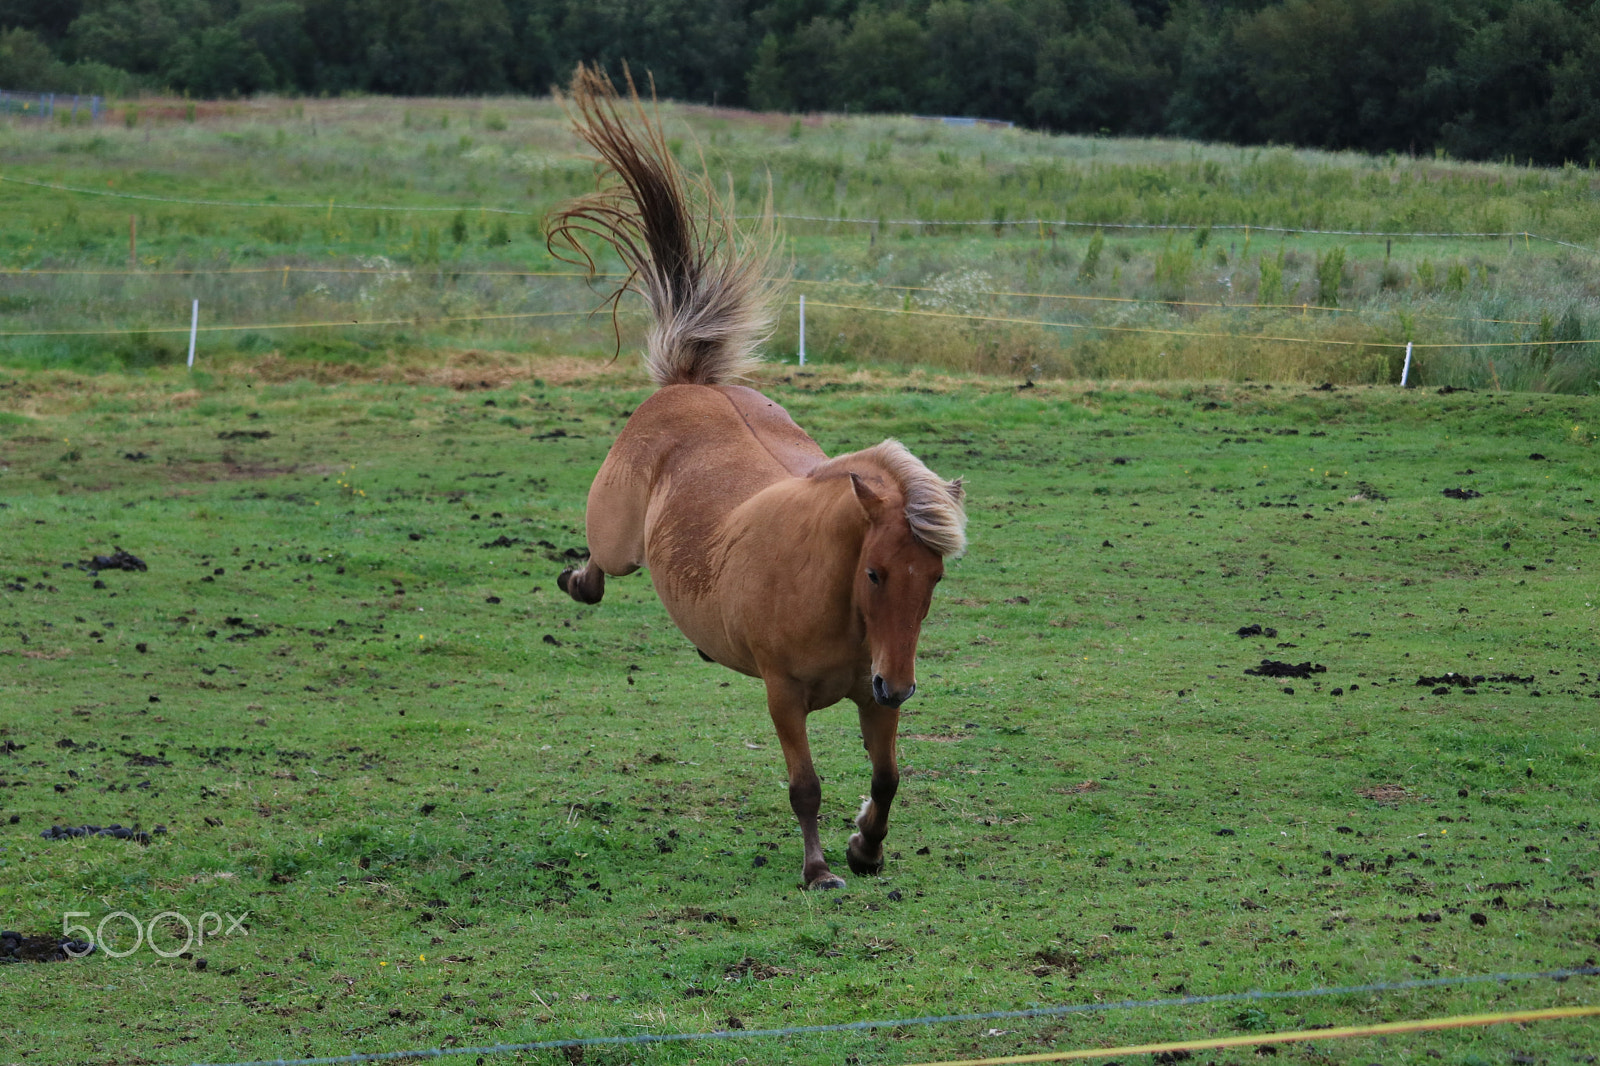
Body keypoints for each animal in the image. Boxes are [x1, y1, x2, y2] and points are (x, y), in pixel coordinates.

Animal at [544, 68, 966, 889]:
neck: (831, 589)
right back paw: (578, 581)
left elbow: (887, 779)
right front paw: (819, 868)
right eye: (875, 572)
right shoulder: (783, 694)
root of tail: (688, 384)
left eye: (932, 580)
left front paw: (867, 845)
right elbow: (806, 785)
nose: (899, 683)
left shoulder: (875, 696)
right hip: (618, 540)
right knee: (600, 563)